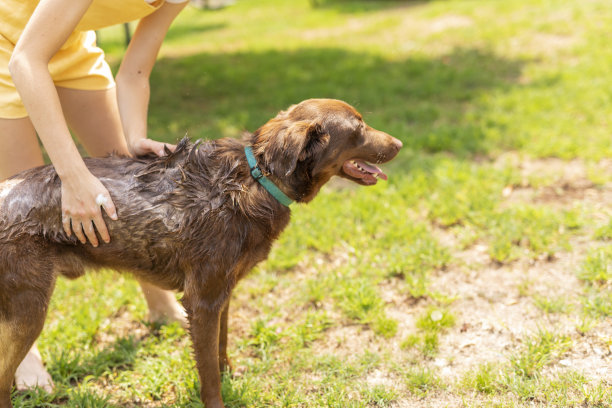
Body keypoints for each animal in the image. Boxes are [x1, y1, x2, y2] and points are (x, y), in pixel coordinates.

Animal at [0, 99, 404, 408]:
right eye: (358, 128)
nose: (400, 143)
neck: (257, 178)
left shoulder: (222, 293)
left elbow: (221, 349)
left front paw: (231, 375)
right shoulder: (203, 300)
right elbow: (208, 373)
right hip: (29, 310)